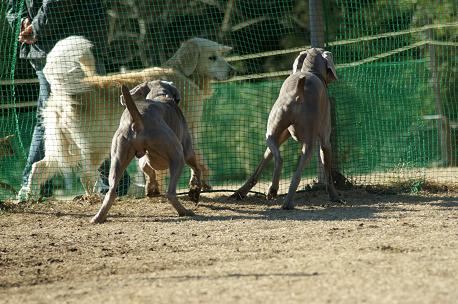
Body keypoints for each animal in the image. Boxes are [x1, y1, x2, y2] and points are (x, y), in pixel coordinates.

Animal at [91, 81, 200, 223]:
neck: (159, 95)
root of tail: (139, 118)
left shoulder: (144, 159)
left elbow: (148, 170)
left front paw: (151, 189)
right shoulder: (187, 150)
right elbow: (196, 168)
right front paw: (195, 190)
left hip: (117, 158)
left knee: (111, 192)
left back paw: (98, 217)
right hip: (177, 155)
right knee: (170, 193)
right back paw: (185, 211)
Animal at [233, 48, 344, 209]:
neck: (311, 70)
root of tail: (297, 93)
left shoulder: (280, 136)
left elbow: (265, 159)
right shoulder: (325, 141)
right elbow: (328, 174)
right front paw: (335, 196)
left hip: (271, 133)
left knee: (279, 158)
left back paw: (269, 190)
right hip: (309, 143)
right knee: (297, 173)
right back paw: (287, 202)